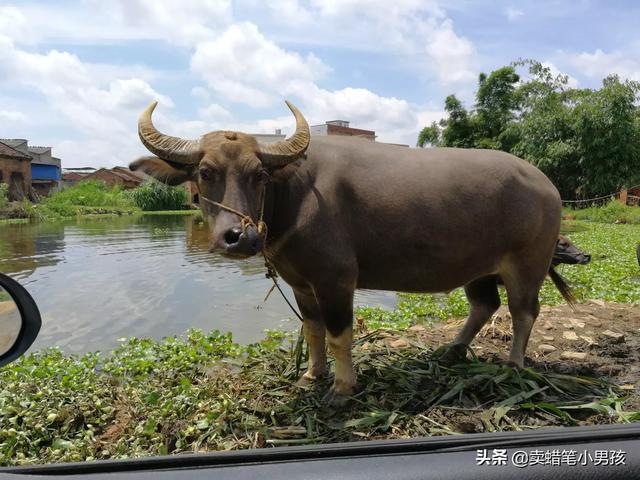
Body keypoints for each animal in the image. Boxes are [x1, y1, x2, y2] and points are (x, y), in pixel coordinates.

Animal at [130, 100, 576, 404]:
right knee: (485, 304)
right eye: (205, 173)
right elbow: (312, 331)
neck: (295, 195)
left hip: (527, 265)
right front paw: (312, 375)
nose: (240, 237)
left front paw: (343, 387)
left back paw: (513, 365)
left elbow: (339, 334)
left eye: (258, 175)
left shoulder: (336, 280)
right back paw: (451, 350)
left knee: (523, 311)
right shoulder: (302, 285)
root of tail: (546, 184)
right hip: (478, 268)